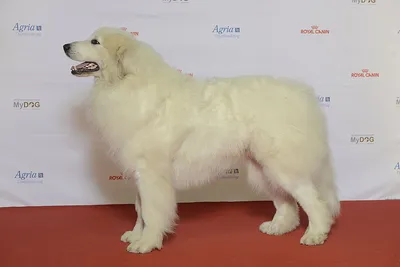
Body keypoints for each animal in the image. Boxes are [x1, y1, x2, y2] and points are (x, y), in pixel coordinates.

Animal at [63, 27, 340, 255]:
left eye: (95, 41)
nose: (65, 45)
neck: (127, 83)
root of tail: (302, 94)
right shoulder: (140, 172)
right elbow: (139, 208)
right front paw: (136, 234)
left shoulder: (151, 173)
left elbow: (151, 211)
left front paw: (146, 243)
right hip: (263, 167)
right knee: (287, 202)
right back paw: (279, 227)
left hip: (281, 165)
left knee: (314, 201)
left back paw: (316, 234)